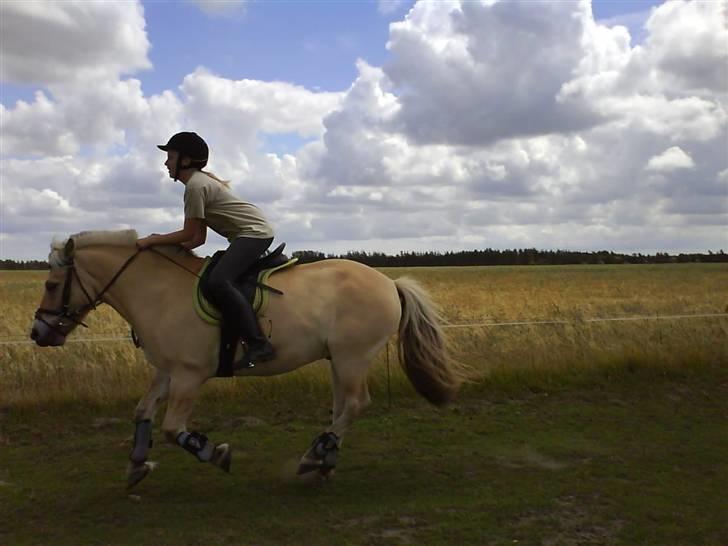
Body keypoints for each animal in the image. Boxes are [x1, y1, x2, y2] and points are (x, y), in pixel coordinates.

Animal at [29, 228, 466, 484]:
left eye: (51, 285)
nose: (38, 334)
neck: (158, 293)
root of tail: (390, 283)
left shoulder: (190, 374)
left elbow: (172, 428)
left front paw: (215, 452)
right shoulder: (168, 371)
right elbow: (143, 413)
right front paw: (138, 464)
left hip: (352, 357)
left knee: (356, 404)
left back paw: (315, 456)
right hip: (339, 360)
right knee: (344, 405)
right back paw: (321, 458)